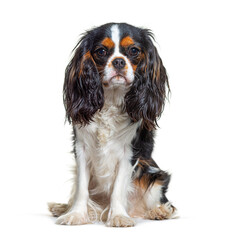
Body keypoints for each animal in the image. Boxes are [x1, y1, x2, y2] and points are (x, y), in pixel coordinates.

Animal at [48, 22, 176, 227]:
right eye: (101, 51)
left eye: (134, 50)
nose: (118, 61)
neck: (112, 99)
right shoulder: (82, 148)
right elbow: (81, 188)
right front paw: (75, 214)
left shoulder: (129, 152)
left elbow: (118, 187)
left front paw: (118, 216)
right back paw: (63, 208)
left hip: (152, 174)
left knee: (164, 203)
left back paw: (159, 211)